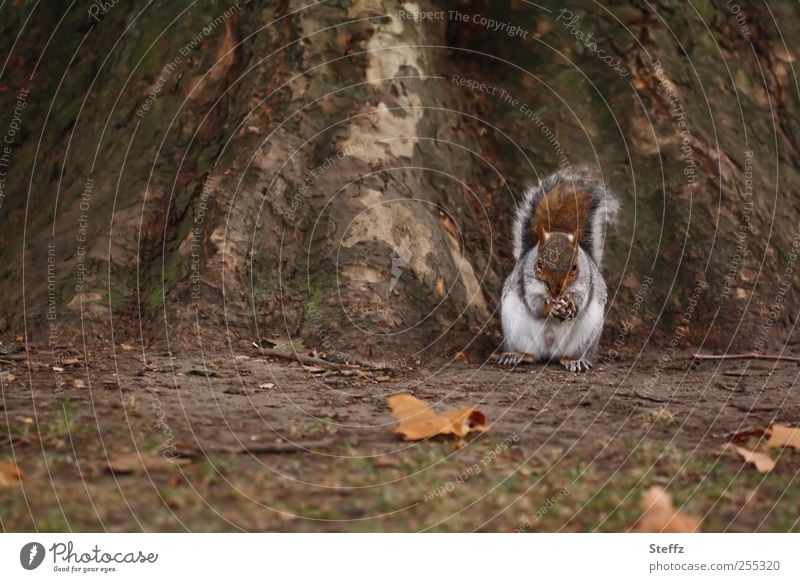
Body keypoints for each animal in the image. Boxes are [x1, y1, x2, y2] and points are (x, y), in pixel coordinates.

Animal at [496, 167, 620, 372]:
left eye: (575, 266)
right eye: (539, 264)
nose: (556, 290)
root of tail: (549, 352)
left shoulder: (585, 284)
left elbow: (580, 300)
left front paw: (570, 306)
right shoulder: (527, 283)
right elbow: (535, 304)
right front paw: (550, 307)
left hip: (587, 334)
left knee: (570, 354)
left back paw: (575, 361)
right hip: (515, 328)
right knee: (532, 354)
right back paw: (517, 355)